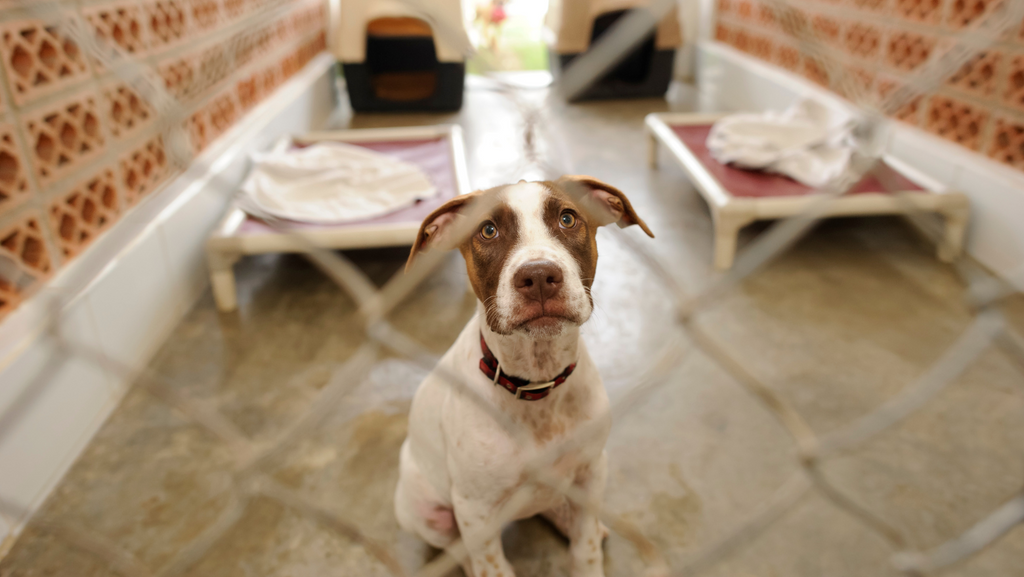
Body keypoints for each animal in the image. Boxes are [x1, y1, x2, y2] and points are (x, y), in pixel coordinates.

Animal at [395, 176, 651, 577]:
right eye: (488, 230)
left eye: (567, 218)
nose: (539, 276)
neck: (537, 383)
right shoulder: (474, 508)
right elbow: (491, 565)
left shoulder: (592, 471)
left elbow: (585, 549)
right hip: (424, 511)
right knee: (457, 549)